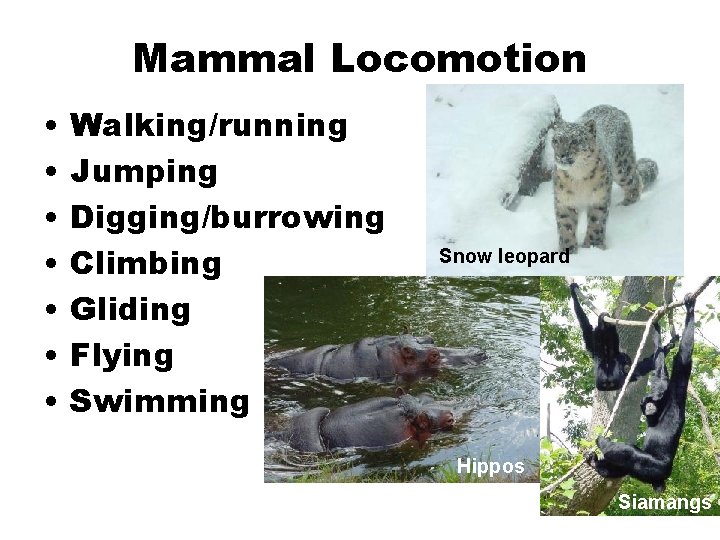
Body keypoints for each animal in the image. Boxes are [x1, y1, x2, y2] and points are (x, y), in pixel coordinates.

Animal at [551, 105, 658, 253]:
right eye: (555, 140)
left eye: (575, 141)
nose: (560, 155)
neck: (577, 176)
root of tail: (612, 107)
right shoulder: (564, 200)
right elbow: (566, 227)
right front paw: (569, 250)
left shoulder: (599, 197)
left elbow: (596, 223)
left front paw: (593, 246)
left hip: (622, 166)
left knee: (635, 181)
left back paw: (625, 205)